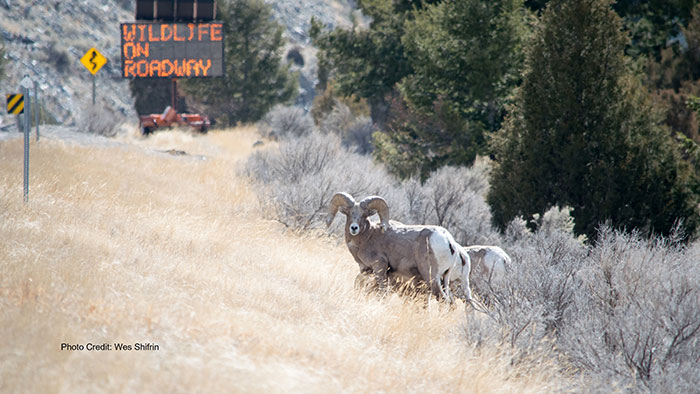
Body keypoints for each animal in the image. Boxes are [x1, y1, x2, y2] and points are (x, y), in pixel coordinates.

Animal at [326, 192, 470, 302]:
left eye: (364, 214)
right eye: (349, 213)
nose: (354, 228)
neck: (368, 237)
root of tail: (449, 242)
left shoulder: (380, 267)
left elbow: (382, 290)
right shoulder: (366, 270)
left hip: (432, 277)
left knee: (443, 299)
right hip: (445, 279)